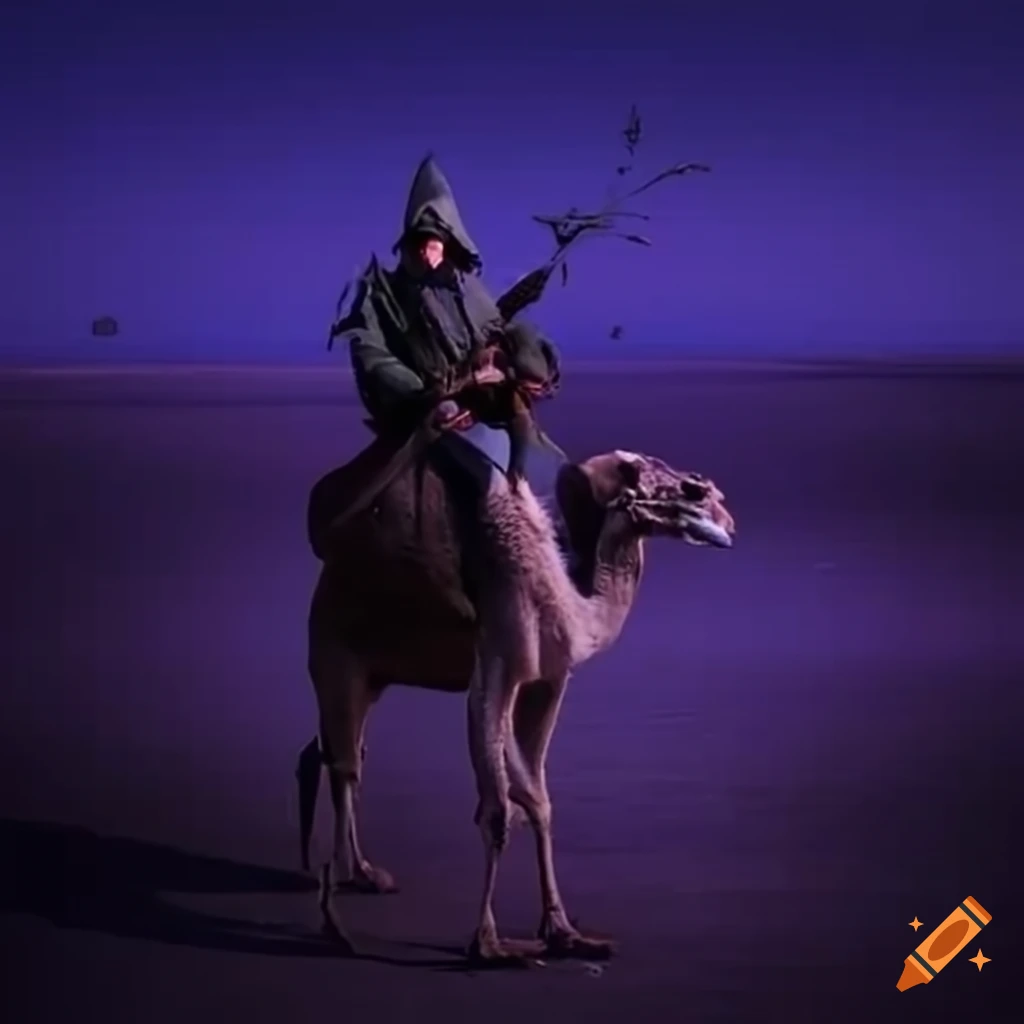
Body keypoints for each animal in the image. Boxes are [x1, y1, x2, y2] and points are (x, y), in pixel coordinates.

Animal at [297, 437, 735, 964]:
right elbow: (498, 811)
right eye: (687, 489)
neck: (567, 600)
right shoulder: (497, 668)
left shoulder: (547, 680)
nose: (722, 510)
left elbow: (537, 802)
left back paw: (358, 875)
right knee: (343, 761)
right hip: (335, 652)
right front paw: (489, 945)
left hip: (373, 673)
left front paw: (565, 933)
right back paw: (336, 919)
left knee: (336, 755)